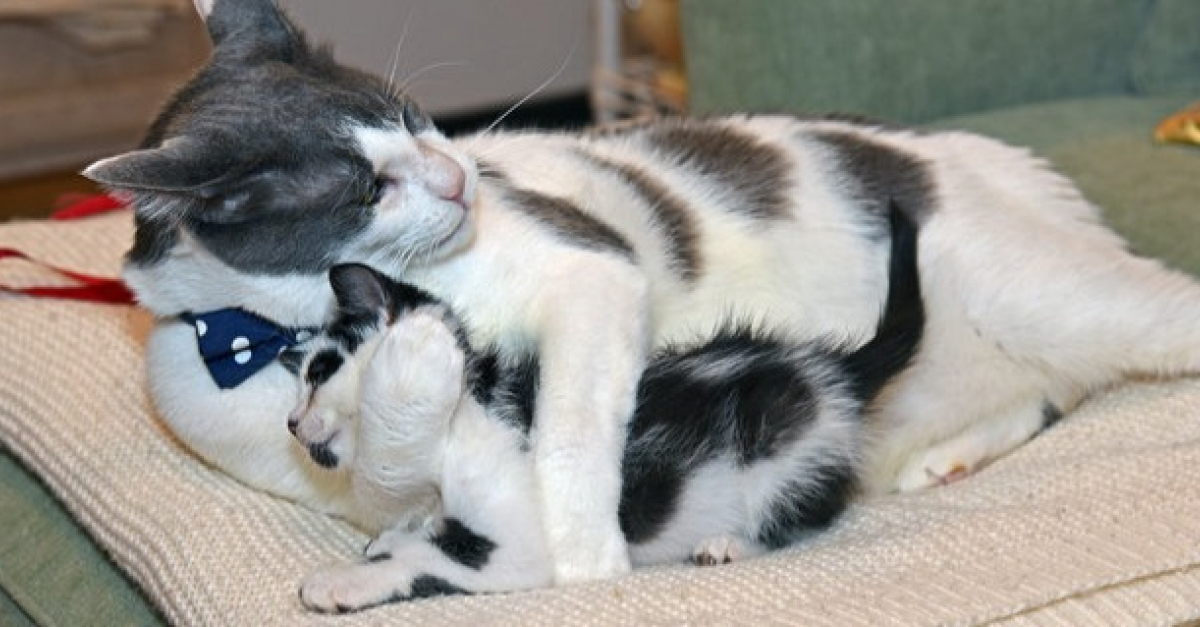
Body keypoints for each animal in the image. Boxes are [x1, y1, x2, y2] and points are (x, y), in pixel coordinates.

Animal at [84, 0, 1200, 586]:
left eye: (416, 119)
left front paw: (585, 556)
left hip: (1049, 289)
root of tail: (1020, 168)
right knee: (1048, 391)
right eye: (366, 186)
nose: (463, 175)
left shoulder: (590, 271)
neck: (280, 326)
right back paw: (950, 455)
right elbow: (395, 472)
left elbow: (573, 432)